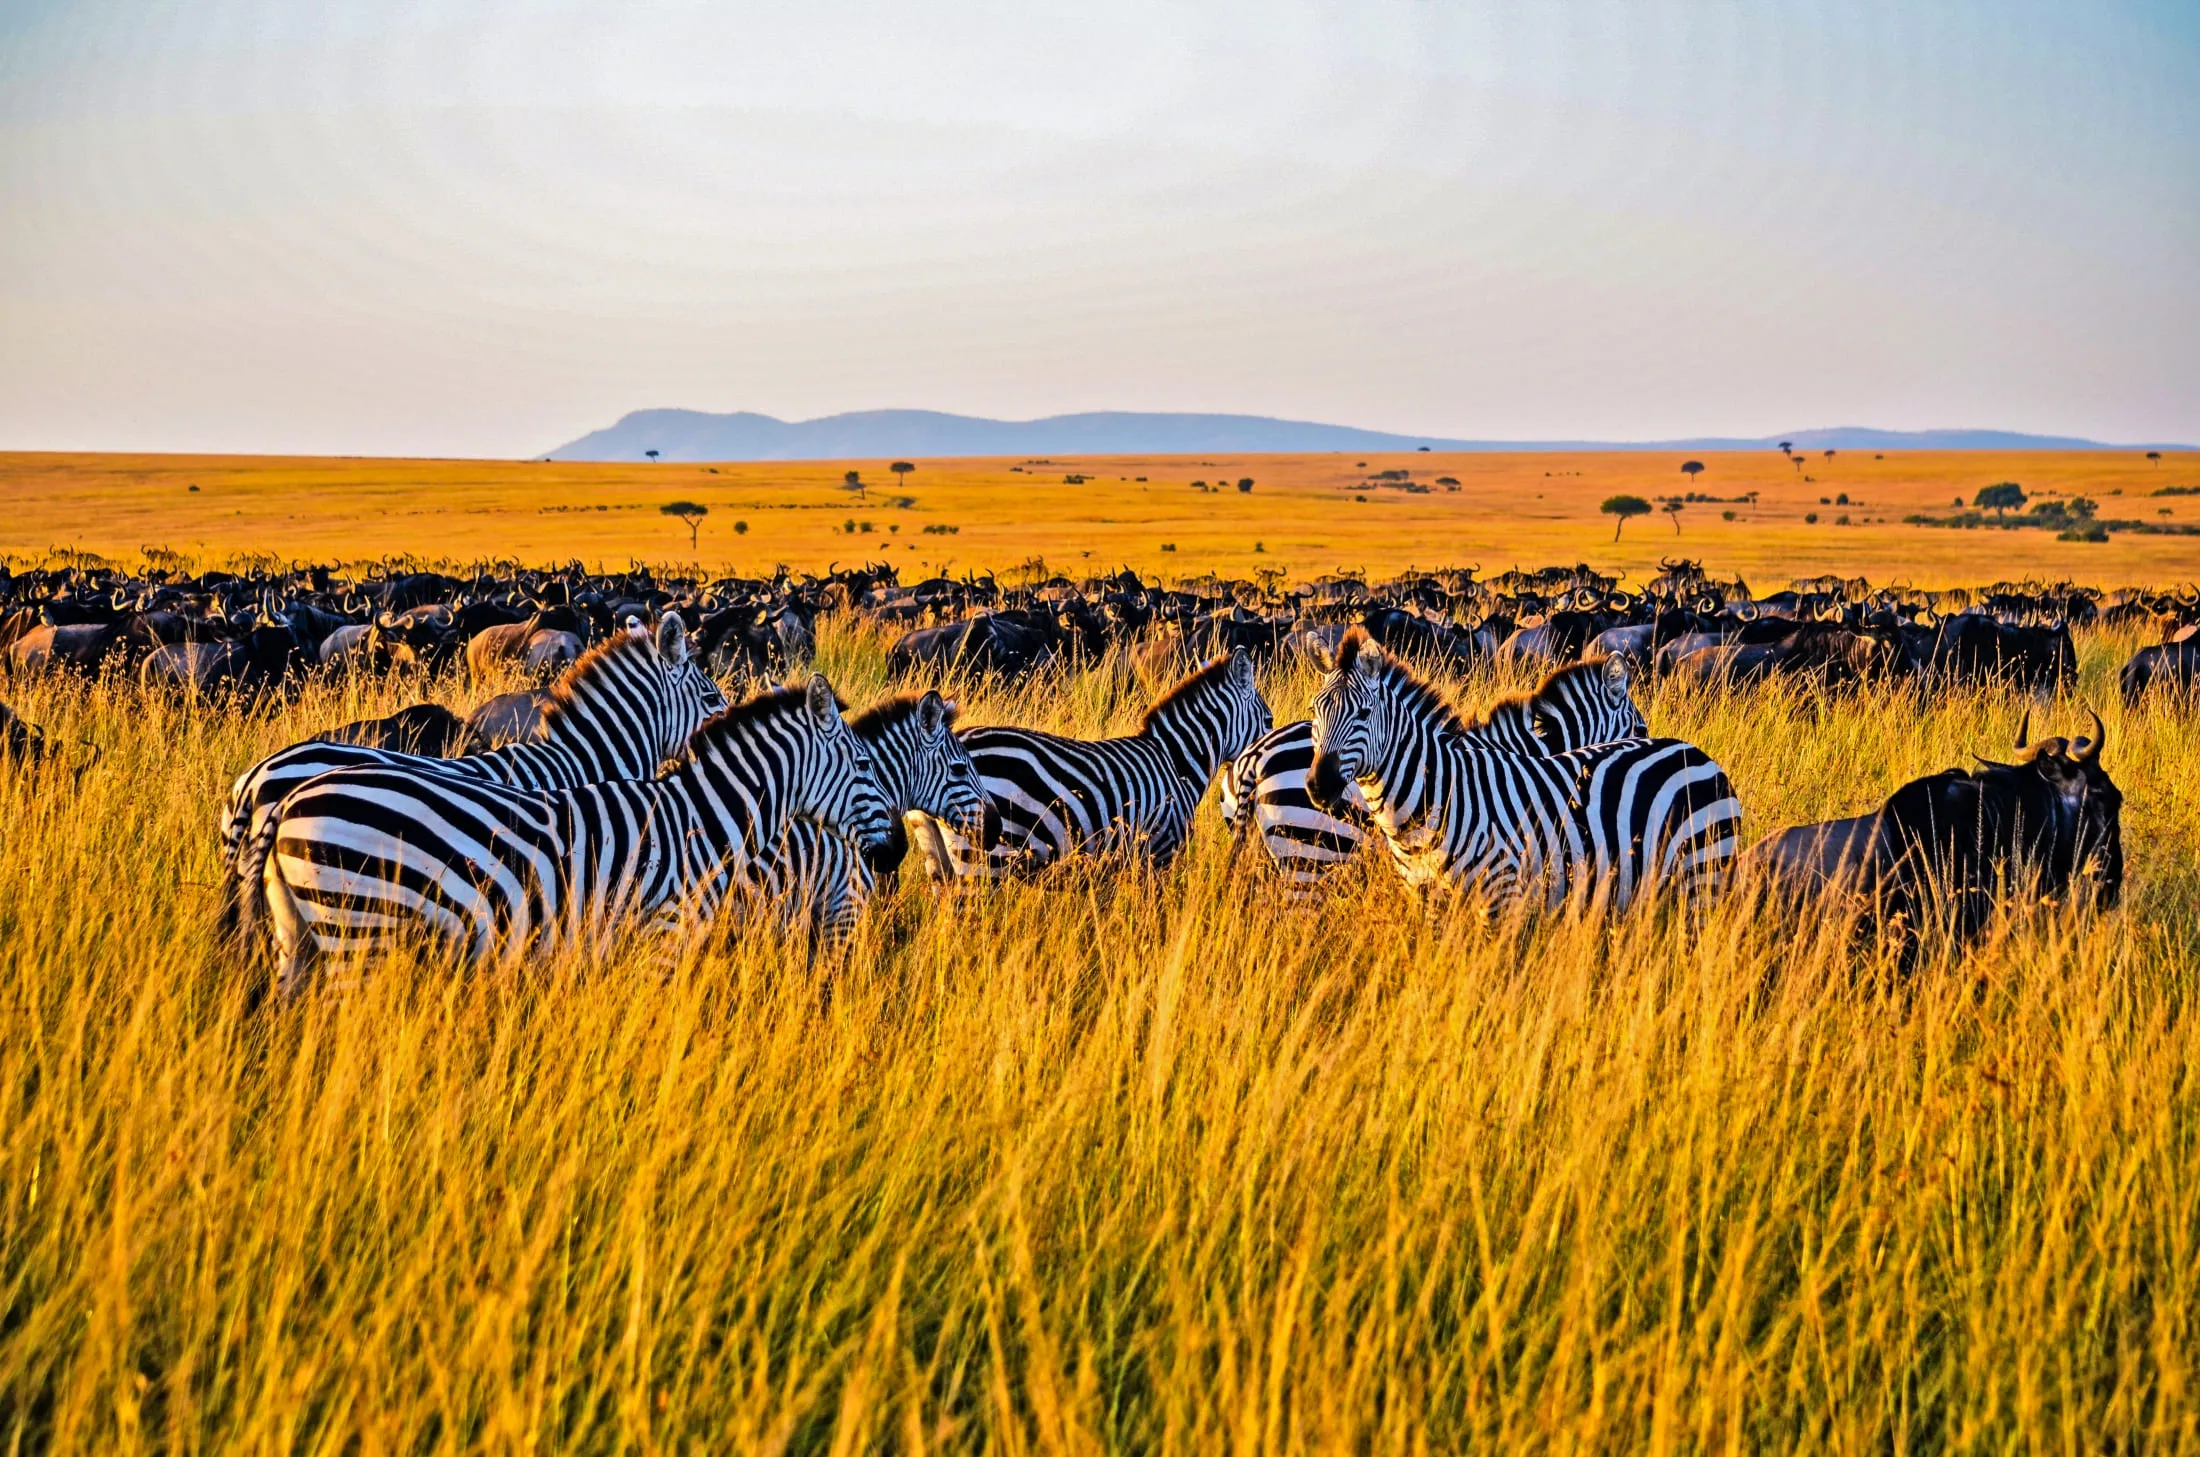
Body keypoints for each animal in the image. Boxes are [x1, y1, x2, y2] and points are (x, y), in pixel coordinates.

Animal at [256, 675, 893, 990]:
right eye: (864, 765)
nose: (893, 853)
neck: (702, 822)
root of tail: (285, 801)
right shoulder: (661, 937)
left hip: (300, 936)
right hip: (358, 928)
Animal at [1306, 630, 1739, 912]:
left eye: (1364, 713)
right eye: (1315, 710)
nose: (1319, 785)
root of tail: (1699, 753)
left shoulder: (1505, 896)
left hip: (1701, 875)